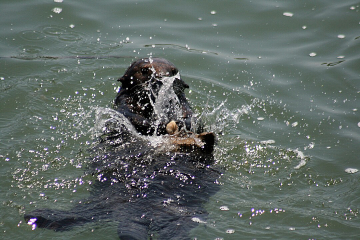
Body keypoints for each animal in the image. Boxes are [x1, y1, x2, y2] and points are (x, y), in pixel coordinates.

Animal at [24, 57, 219, 239]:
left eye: (173, 72)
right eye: (145, 70)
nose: (161, 80)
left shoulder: (185, 107)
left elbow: (189, 114)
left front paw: (181, 123)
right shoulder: (124, 105)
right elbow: (130, 115)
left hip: (184, 212)